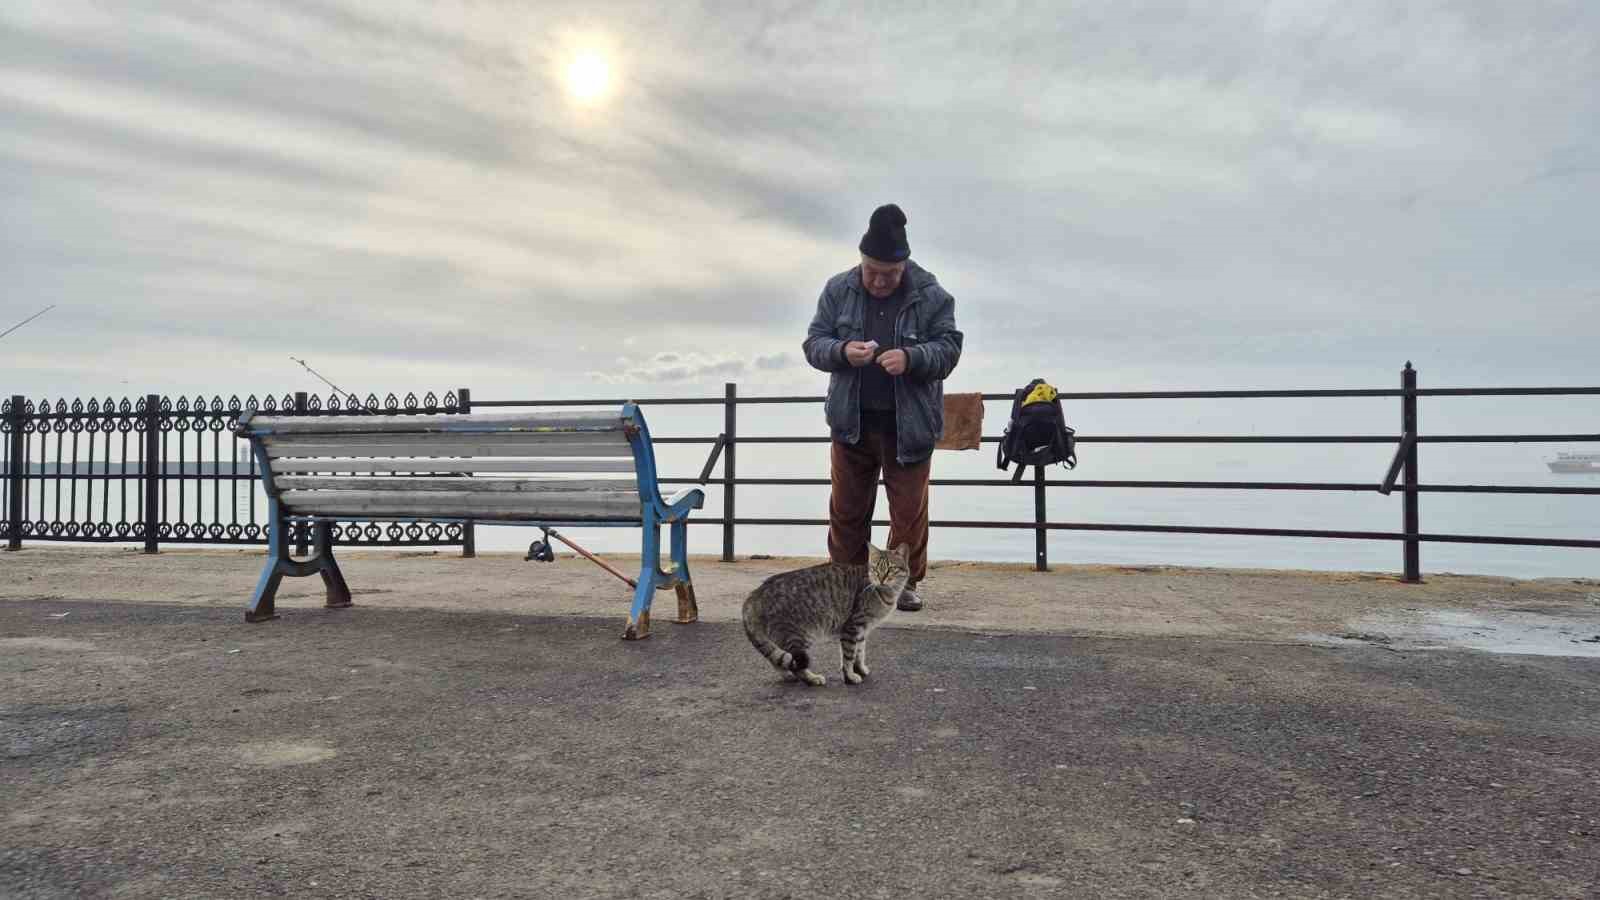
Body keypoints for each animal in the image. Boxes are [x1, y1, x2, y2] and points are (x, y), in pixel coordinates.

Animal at [739, 544, 915, 682]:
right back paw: (812, 678)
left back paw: (787, 675)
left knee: (778, 660)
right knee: (797, 665)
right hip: (797, 635)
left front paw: (861, 669)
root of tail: (756, 593)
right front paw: (850, 676)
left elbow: (860, 652)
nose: (881, 578)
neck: (886, 592)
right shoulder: (853, 626)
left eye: (891, 568)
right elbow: (849, 656)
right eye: (875, 568)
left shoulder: (862, 631)